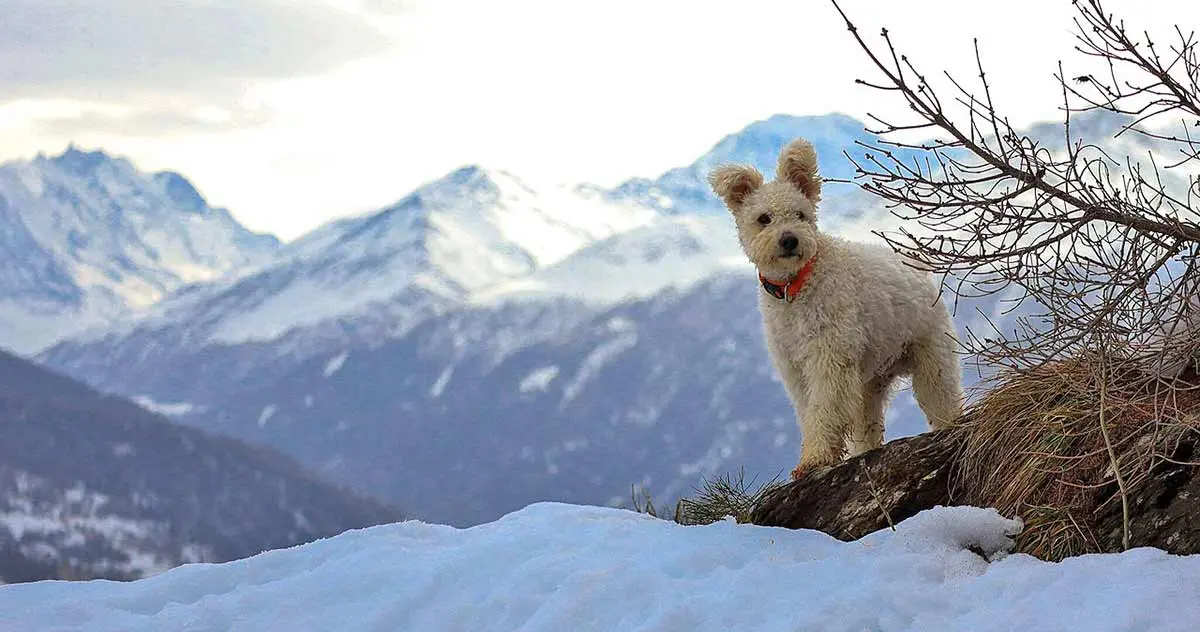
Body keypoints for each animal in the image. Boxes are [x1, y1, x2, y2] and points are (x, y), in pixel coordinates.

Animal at [705, 139, 960, 479]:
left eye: (800, 214)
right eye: (764, 218)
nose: (789, 240)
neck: (795, 287)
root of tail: (918, 268)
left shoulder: (828, 358)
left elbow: (824, 410)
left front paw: (815, 458)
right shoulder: (795, 369)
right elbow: (809, 412)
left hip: (932, 358)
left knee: (942, 398)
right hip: (869, 382)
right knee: (866, 424)